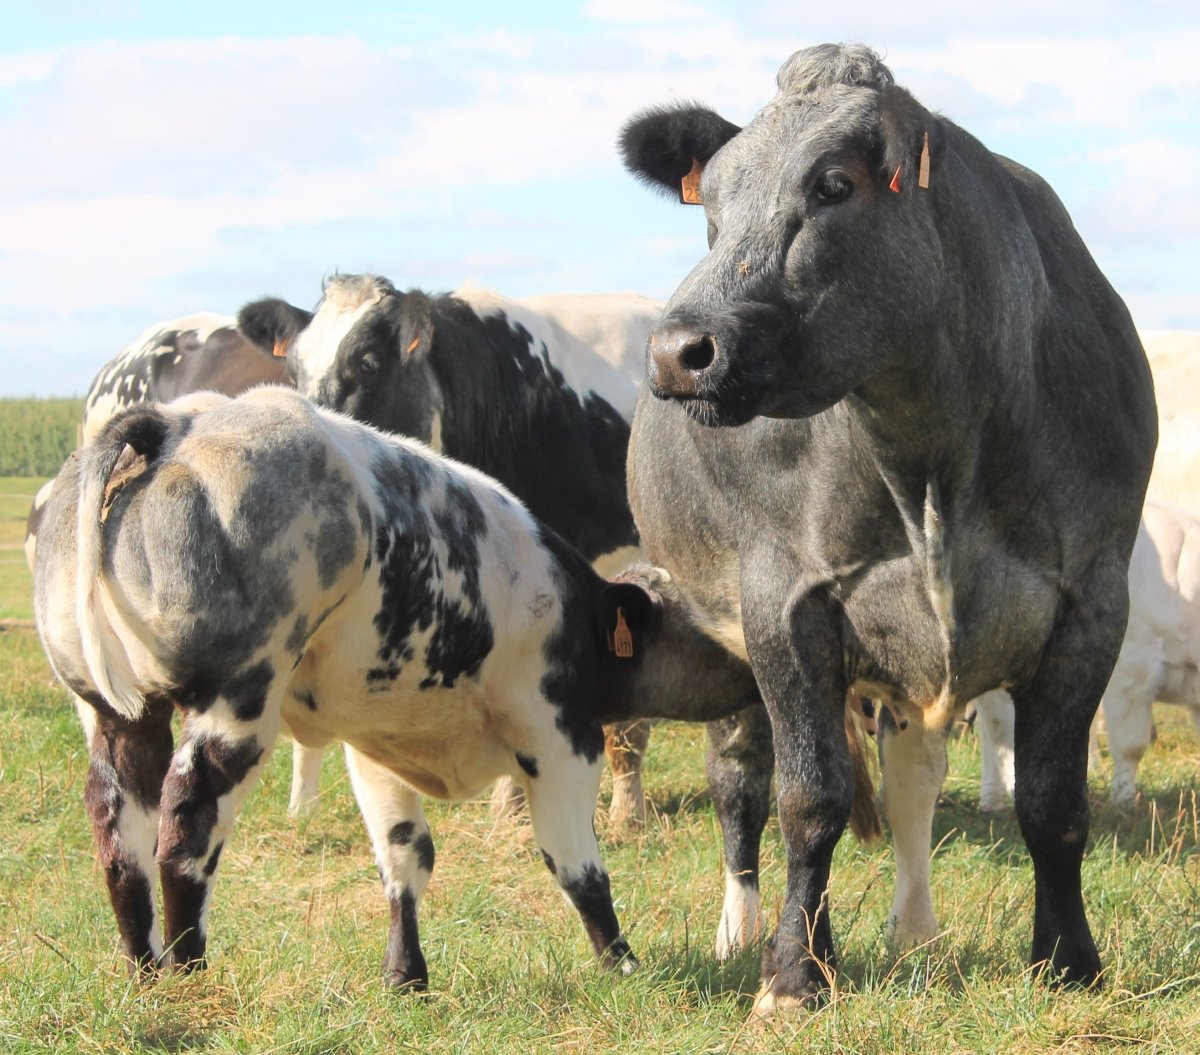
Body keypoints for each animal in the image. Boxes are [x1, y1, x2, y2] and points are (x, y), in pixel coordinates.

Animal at [33, 386, 775, 988]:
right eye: (699, 616)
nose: (754, 666)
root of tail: (177, 422)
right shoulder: (561, 735)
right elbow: (575, 862)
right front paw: (622, 963)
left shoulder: (375, 742)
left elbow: (405, 855)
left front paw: (406, 975)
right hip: (236, 702)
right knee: (184, 828)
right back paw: (189, 973)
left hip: (116, 715)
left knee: (118, 833)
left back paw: (144, 970)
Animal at [618, 42, 1156, 1013]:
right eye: (710, 204)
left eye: (833, 185)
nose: (679, 351)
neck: (933, 454)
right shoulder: (784, 601)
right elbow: (809, 799)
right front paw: (793, 976)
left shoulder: (1091, 600)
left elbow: (1054, 803)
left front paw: (1069, 960)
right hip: (728, 636)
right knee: (746, 780)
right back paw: (751, 932)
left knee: (908, 785)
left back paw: (912, 931)